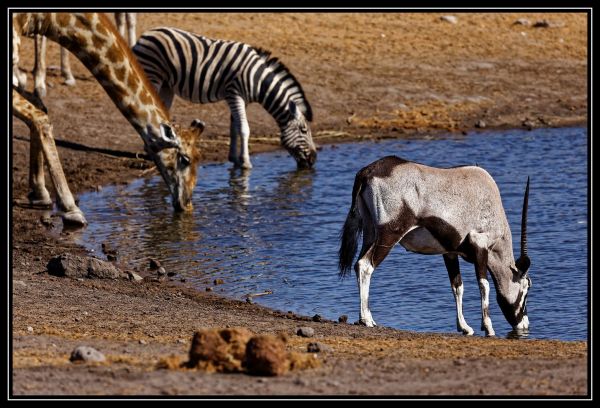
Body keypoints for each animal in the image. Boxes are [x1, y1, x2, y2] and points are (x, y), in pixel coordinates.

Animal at [11, 13, 203, 226]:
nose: (187, 203)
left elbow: (40, 107)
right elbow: (40, 117)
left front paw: (39, 193)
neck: (50, 19)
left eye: (199, 158)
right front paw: (71, 209)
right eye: (185, 159)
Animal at [133, 26, 316, 169]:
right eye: (304, 130)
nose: (314, 160)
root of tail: (145, 34)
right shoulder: (234, 94)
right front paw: (246, 163)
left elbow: (235, 128)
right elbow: (244, 128)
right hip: (152, 76)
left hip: (166, 84)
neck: (258, 79)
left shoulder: (240, 99)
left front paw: (235, 159)